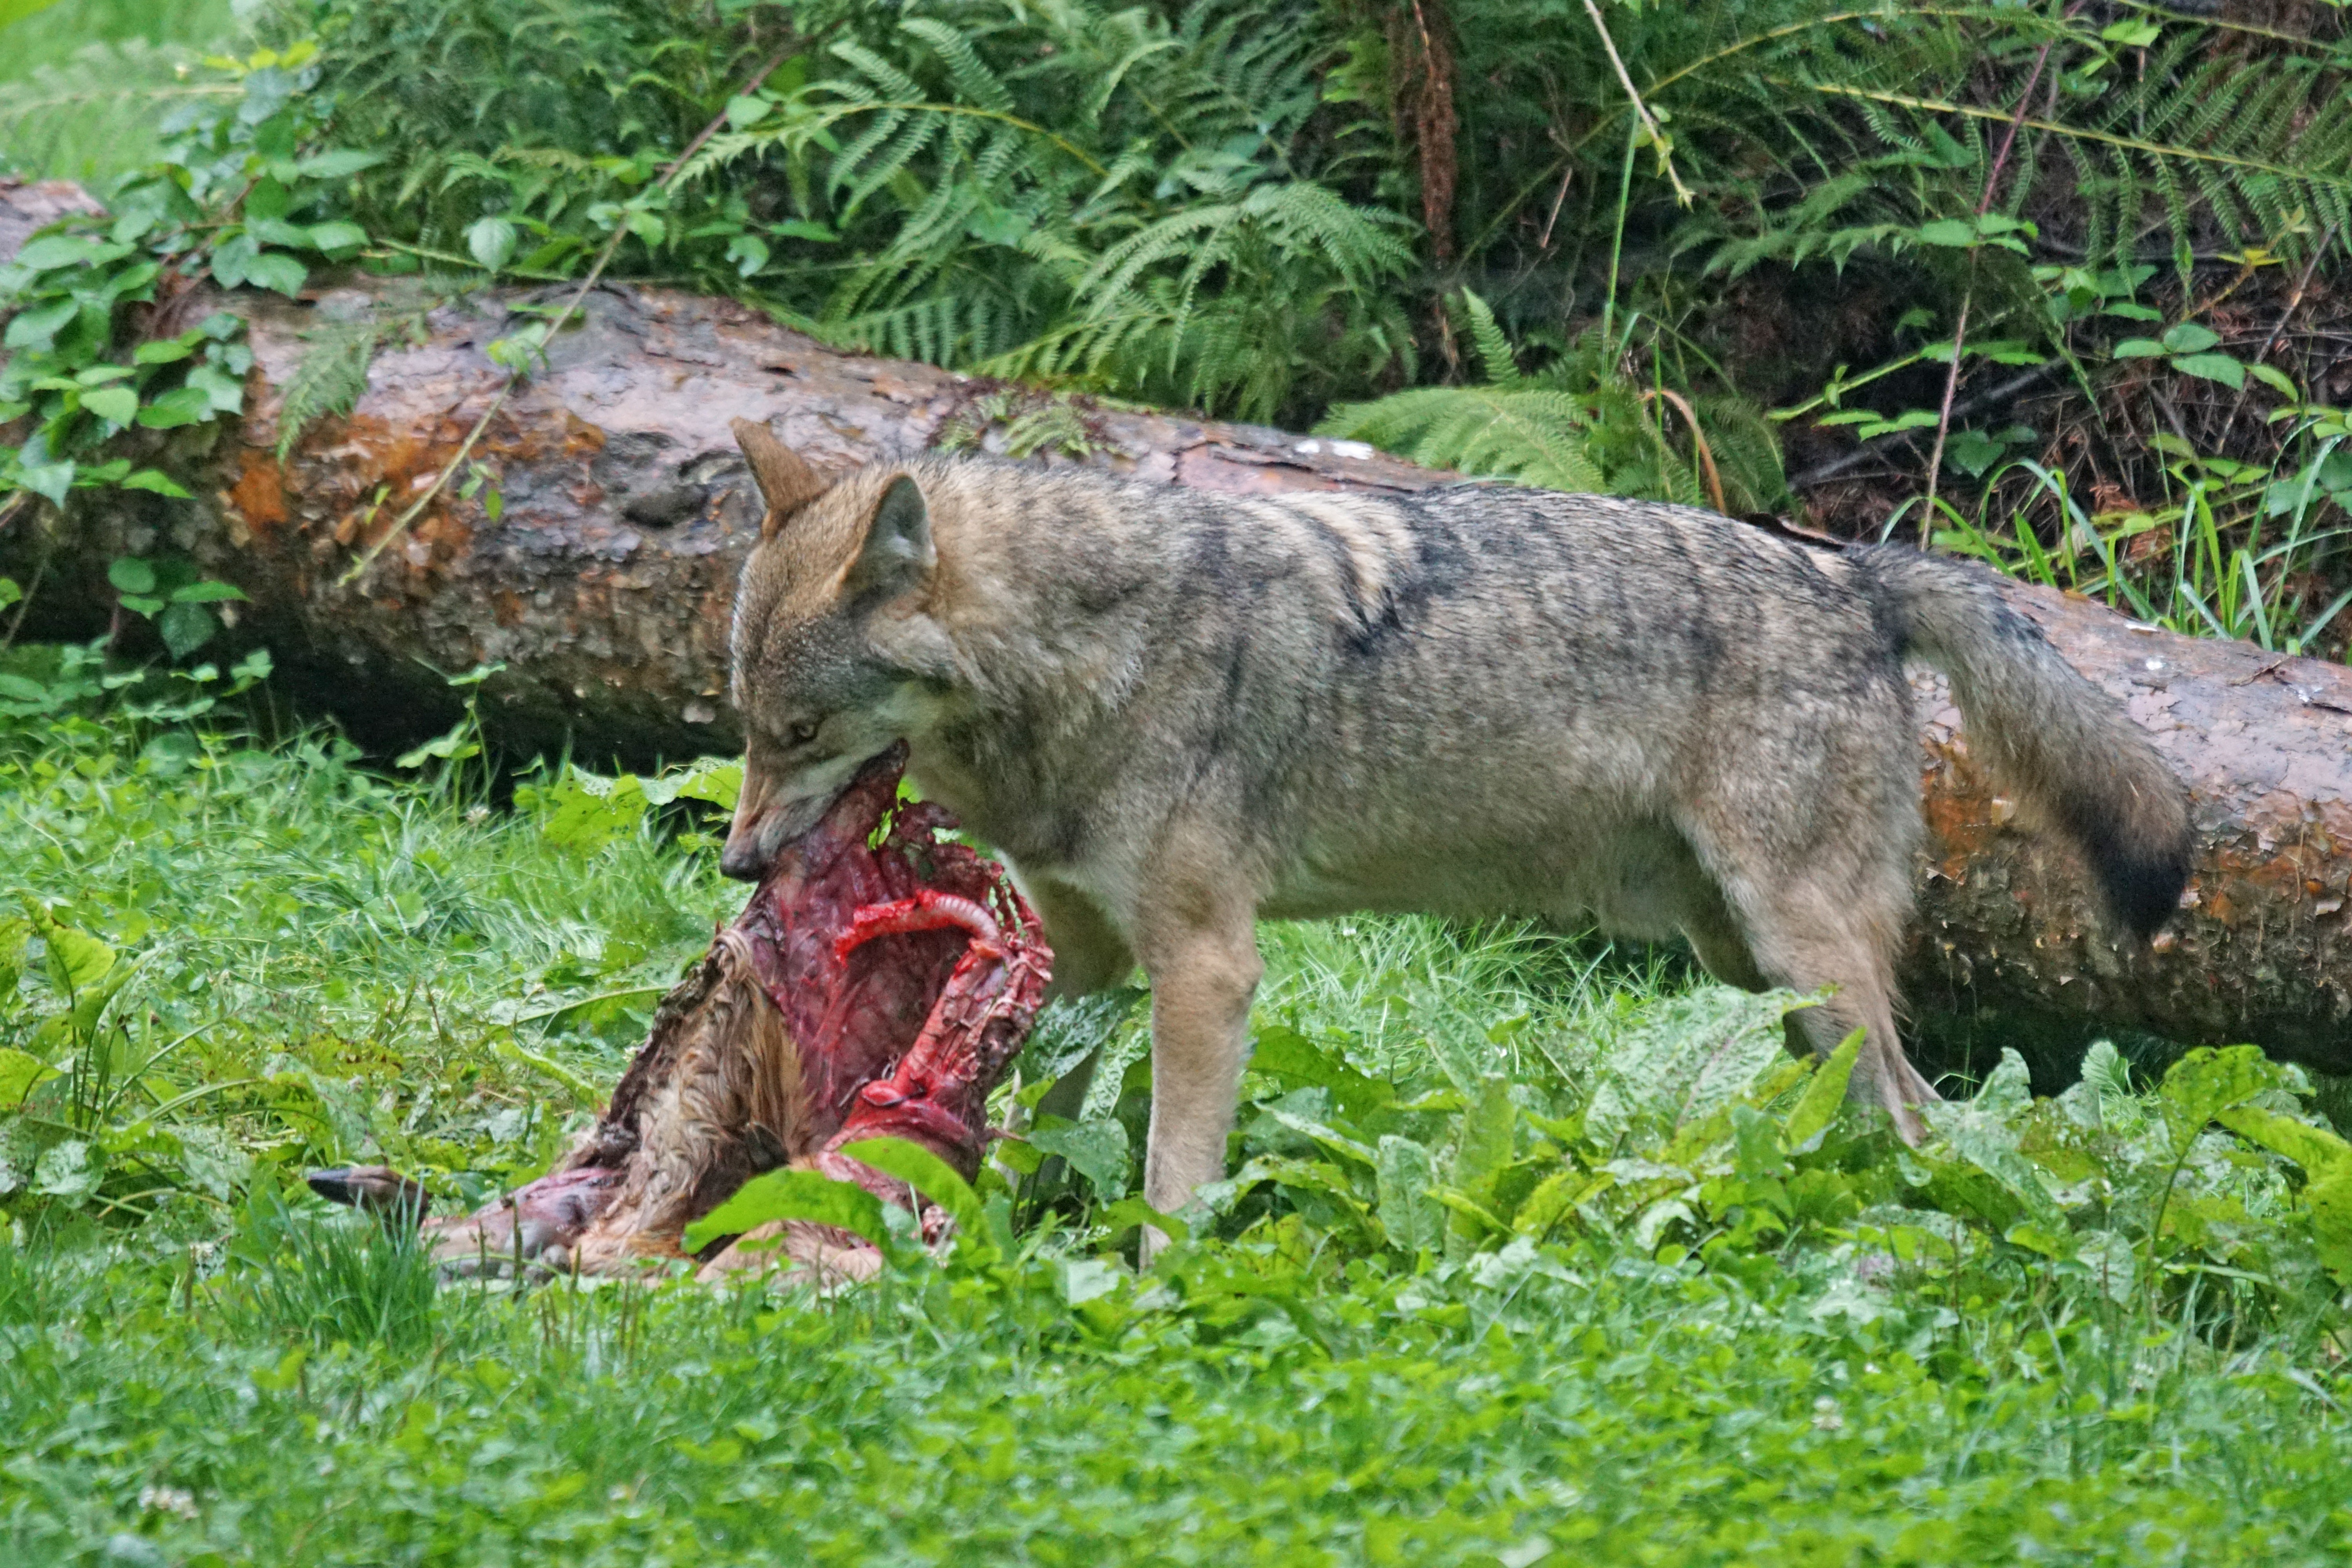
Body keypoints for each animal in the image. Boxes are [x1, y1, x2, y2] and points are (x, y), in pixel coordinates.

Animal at [710, 423, 2183, 1222]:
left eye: (798, 732)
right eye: (742, 724)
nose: (736, 860)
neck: (1083, 655)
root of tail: (1856, 572)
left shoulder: (1208, 968)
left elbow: (1173, 1181)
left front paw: (1150, 1292)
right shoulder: (1084, 958)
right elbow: (1030, 1107)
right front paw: (986, 1224)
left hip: (1799, 956)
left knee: (1924, 1121)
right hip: (1749, 969)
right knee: (1891, 1110)